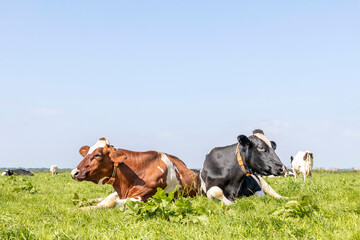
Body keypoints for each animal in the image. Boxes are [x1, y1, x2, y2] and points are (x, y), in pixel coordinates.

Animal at [70, 138, 200, 209]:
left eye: (97, 155)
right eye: (86, 153)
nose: (74, 172)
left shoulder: (142, 199)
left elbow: (110, 203)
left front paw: (81, 209)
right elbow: (105, 201)